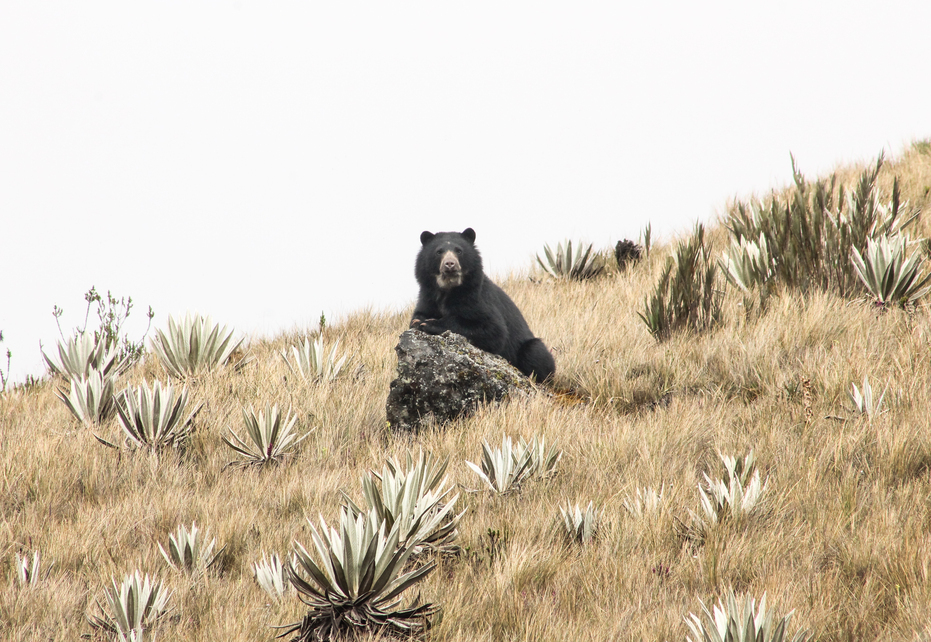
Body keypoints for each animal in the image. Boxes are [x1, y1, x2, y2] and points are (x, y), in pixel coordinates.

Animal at [411, 227, 556, 382]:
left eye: (459, 250)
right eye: (439, 251)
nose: (450, 264)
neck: (448, 290)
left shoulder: (476, 298)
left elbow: (494, 330)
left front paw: (428, 323)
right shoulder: (427, 297)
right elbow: (418, 314)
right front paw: (418, 321)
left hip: (531, 348)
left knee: (534, 352)